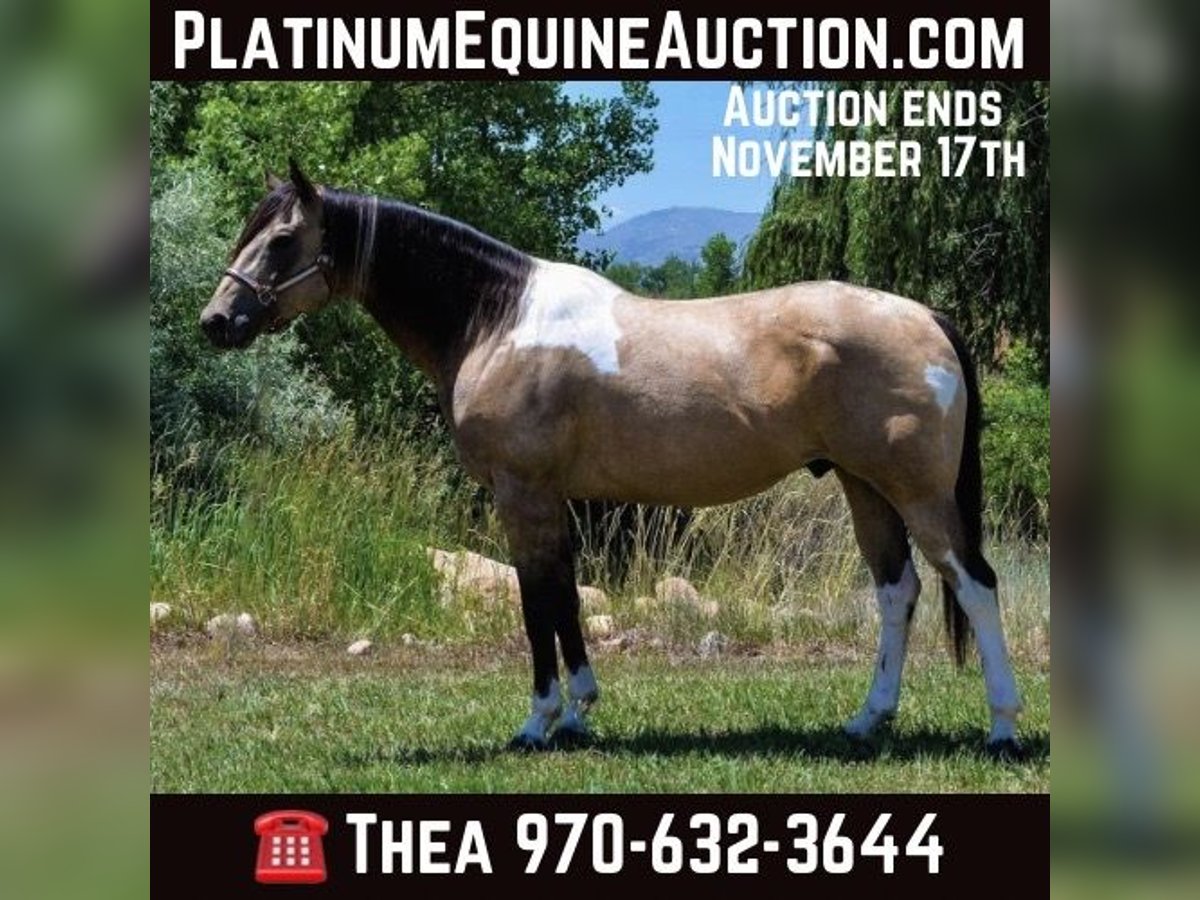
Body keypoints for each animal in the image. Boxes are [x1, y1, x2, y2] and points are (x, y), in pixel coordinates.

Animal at [200, 160, 1023, 754]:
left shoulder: (521, 492)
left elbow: (537, 604)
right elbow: (565, 597)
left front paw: (538, 723)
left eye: (281, 241)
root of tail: (926, 317)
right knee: (897, 591)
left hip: (917, 493)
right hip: (864, 487)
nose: (217, 321)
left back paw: (1003, 729)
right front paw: (579, 712)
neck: (499, 320)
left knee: (974, 585)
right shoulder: (553, 499)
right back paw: (866, 721)